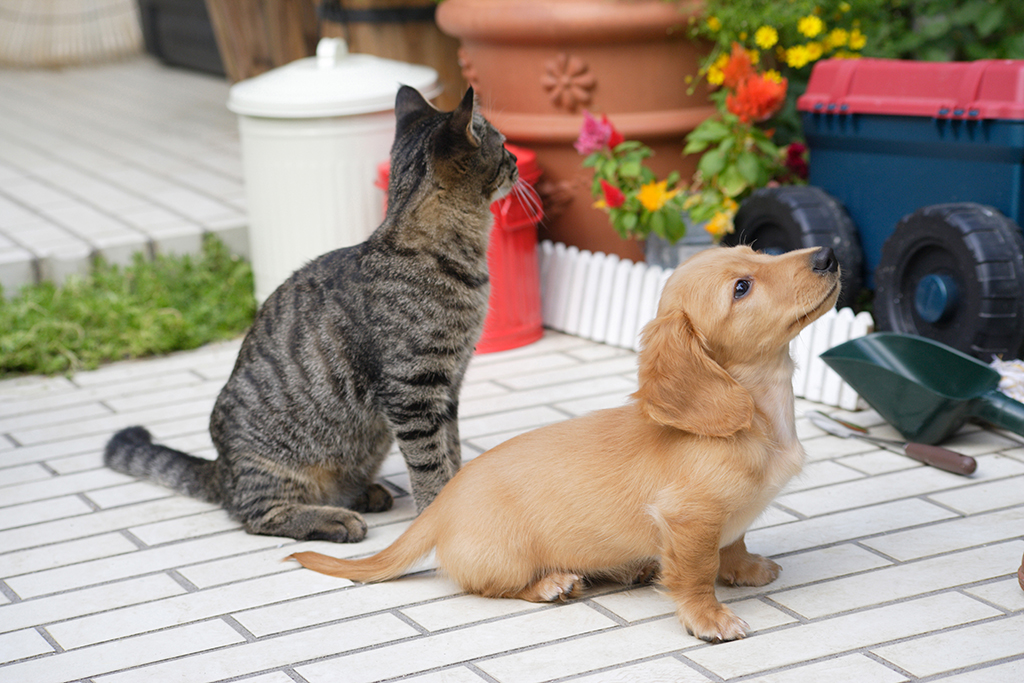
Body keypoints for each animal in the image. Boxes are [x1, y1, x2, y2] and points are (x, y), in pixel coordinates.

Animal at [104, 85, 520, 540]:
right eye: (502, 144)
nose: (517, 160)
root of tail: (221, 470)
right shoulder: (413, 392)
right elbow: (430, 465)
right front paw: (438, 510)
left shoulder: (449, 387)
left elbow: (452, 449)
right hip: (271, 467)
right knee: (258, 515)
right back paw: (334, 519)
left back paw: (364, 494)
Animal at [290, 245, 839, 643]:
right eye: (741, 288)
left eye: (756, 250)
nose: (828, 254)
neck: (760, 419)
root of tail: (440, 507)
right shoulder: (689, 519)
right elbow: (697, 573)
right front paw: (710, 618)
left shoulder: (720, 521)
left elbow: (735, 541)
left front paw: (746, 568)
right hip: (505, 560)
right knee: (490, 587)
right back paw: (552, 583)